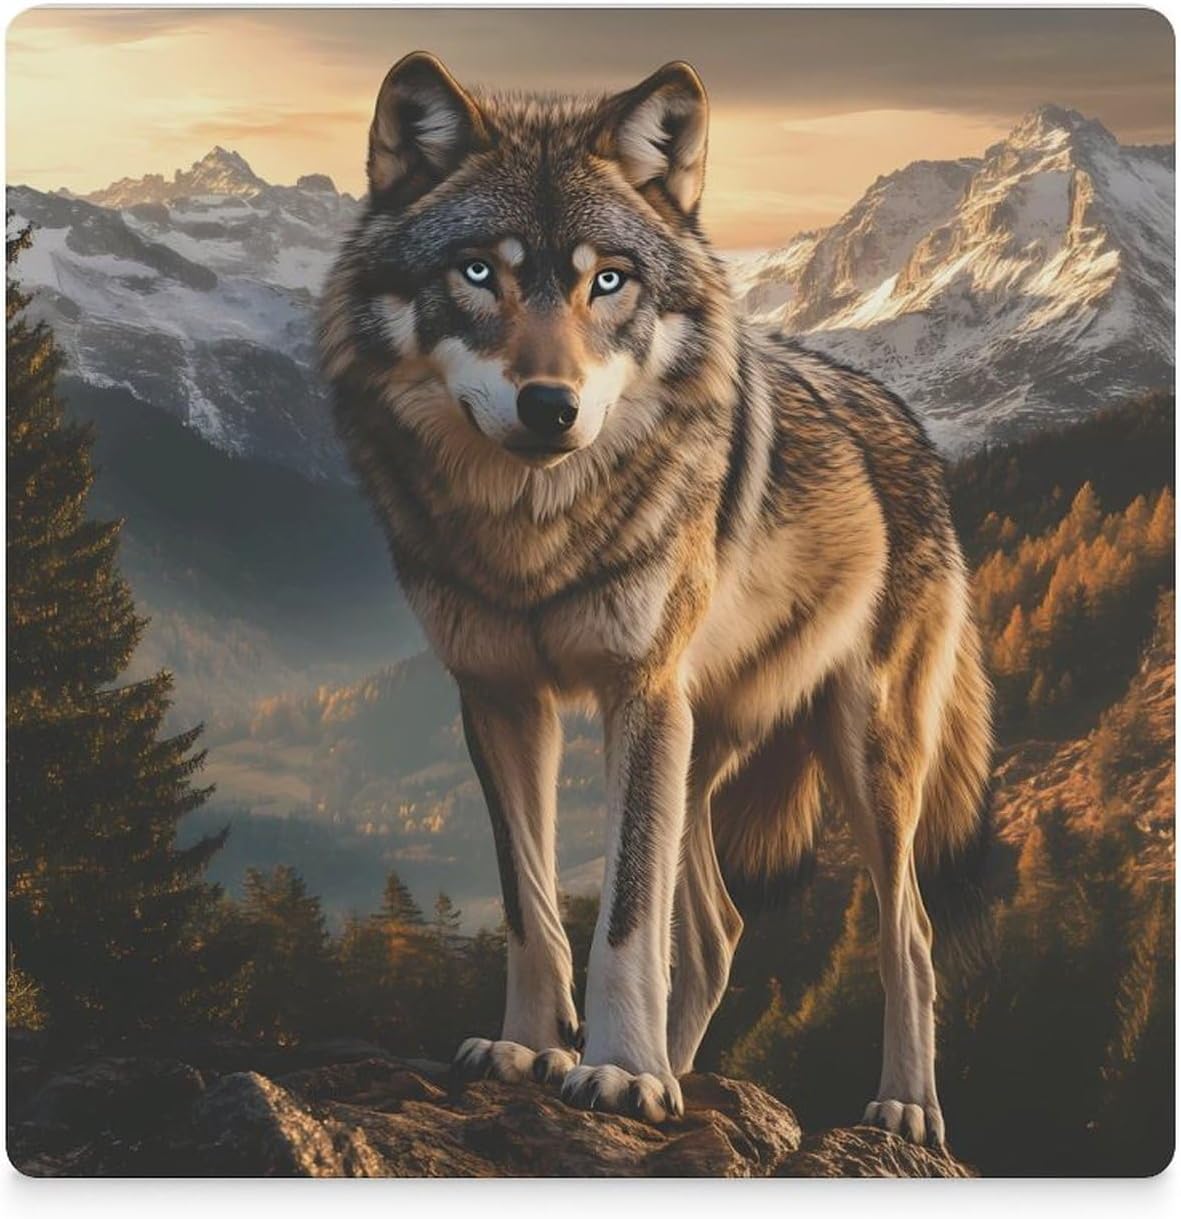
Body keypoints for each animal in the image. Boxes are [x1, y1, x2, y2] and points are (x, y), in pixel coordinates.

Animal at [319, 52, 993, 1148]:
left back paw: (901, 1107)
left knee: (912, 934)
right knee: (717, 930)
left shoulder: (636, 693)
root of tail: (909, 428)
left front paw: (622, 1074)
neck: (534, 538)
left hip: (859, 754)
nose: (550, 406)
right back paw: (679, 1071)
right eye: (478, 272)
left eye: (608, 279)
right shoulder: (500, 699)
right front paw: (533, 1051)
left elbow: (625, 918)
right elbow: (531, 906)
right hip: (697, 744)